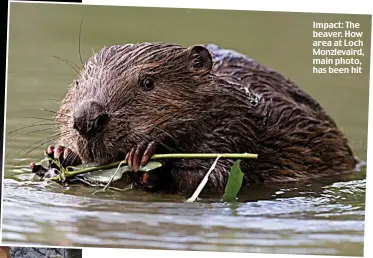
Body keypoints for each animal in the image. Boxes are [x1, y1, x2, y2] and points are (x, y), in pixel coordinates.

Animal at [30, 42, 356, 195]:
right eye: (77, 83)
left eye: (147, 82)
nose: (87, 119)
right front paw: (58, 156)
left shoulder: (237, 129)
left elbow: (217, 173)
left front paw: (146, 159)